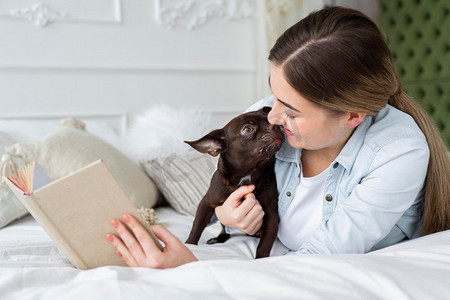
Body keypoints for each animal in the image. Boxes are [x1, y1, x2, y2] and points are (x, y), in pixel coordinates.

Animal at [185, 107, 284, 258]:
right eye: (247, 129)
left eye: (269, 119)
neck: (246, 174)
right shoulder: (206, 203)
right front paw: (189, 245)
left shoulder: (271, 214)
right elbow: (196, 227)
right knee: (224, 228)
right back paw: (219, 238)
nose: (275, 126)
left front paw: (260, 259)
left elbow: (265, 244)